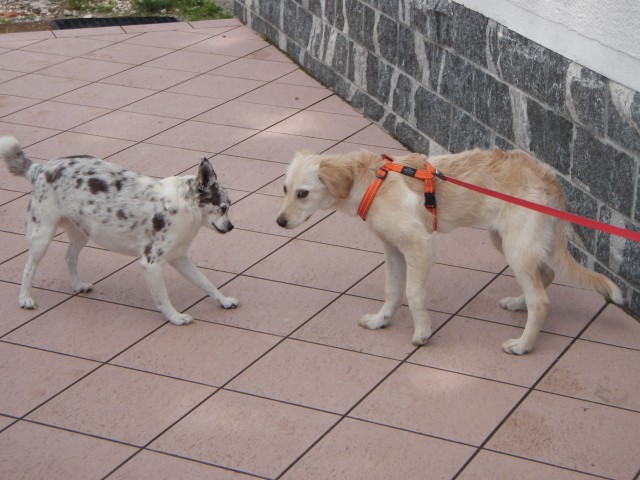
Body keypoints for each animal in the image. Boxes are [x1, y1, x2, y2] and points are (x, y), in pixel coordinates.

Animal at [0, 135, 238, 324]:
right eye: (223, 208)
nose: (231, 227)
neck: (183, 206)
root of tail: (40, 169)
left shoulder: (179, 258)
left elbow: (206, 283)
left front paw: (224, 300)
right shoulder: (152, 264)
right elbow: (163, 297)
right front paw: (175, 317)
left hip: (81, 233)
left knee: (70, 258)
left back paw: (77, 286)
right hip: (42, 235)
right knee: (29, 267)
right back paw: (25, 299)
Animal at [278, 148, 624, 354]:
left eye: (303, 193)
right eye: (284, 189)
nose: (280, 222)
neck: (374, 182)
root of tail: (549, 177)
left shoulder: (419, 245)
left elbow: (414, 293)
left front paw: (422, 332)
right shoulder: (392, 249)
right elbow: (392, 290)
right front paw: (381, 320)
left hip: (516, 245)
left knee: (540, 300)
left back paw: (523, 344)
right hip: (510, 241)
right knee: (546, 273)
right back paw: (517, 303)